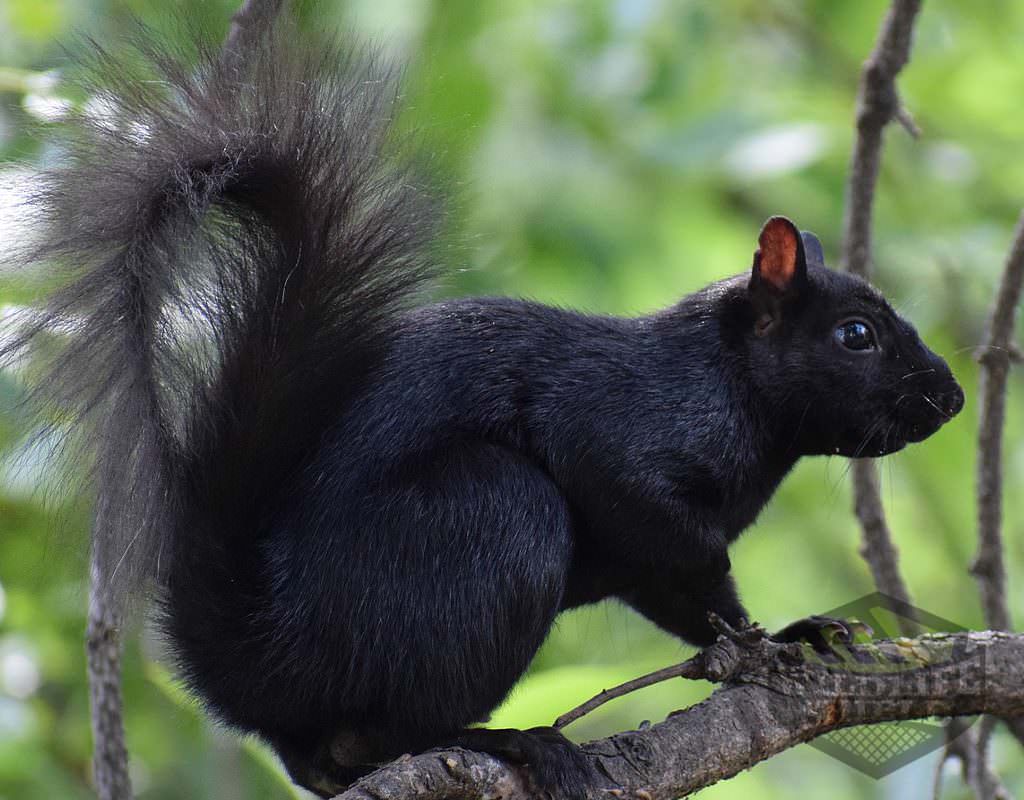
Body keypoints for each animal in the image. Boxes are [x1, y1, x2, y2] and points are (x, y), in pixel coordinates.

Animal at [4, 10, 962, 798]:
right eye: (855, 335)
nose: (951, 398)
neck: (729, 389)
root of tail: (262, 653)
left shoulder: (651, 559)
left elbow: (687, 599)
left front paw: (792, 637)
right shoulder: (615, 433)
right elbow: (680, 550)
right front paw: (765, 640)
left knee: (328, 759)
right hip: (489, 516)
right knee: (384, 735)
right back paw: (507, 742)